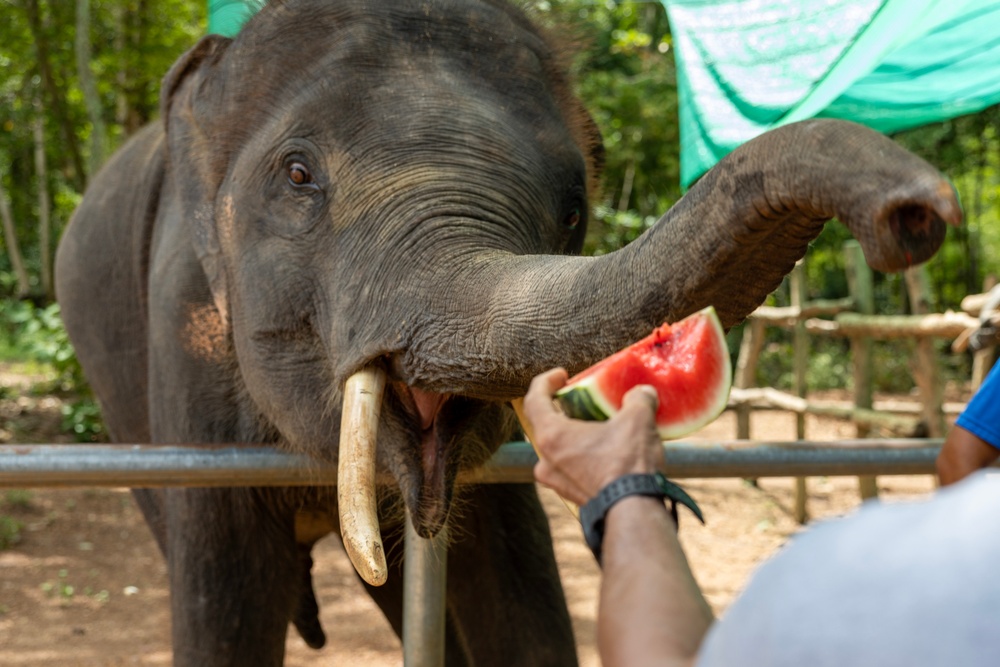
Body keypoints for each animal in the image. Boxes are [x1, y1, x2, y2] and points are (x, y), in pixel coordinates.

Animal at [54, 1, 960, 667]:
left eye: (573, 206)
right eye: (298, 174)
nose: (914, 213)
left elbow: (522, 601)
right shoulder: (184, 337)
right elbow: (223, 606)